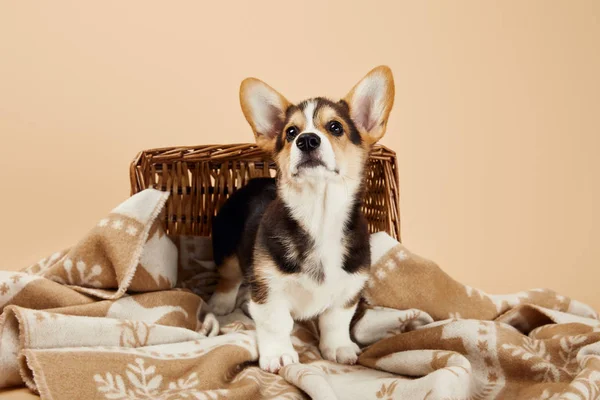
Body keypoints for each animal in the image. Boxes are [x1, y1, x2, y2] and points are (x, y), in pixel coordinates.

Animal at [206, 65, 394, 372]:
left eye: (335, 127)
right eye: (291, 132)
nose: (306, 140)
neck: (319, 214)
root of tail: (251, 182)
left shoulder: (349, 288)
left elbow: (335, 321)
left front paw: (338, 347)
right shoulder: (269, 287)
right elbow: (276, 323)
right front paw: (279, 354)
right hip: (226, 249)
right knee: (229, 276)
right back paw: (221, 303)